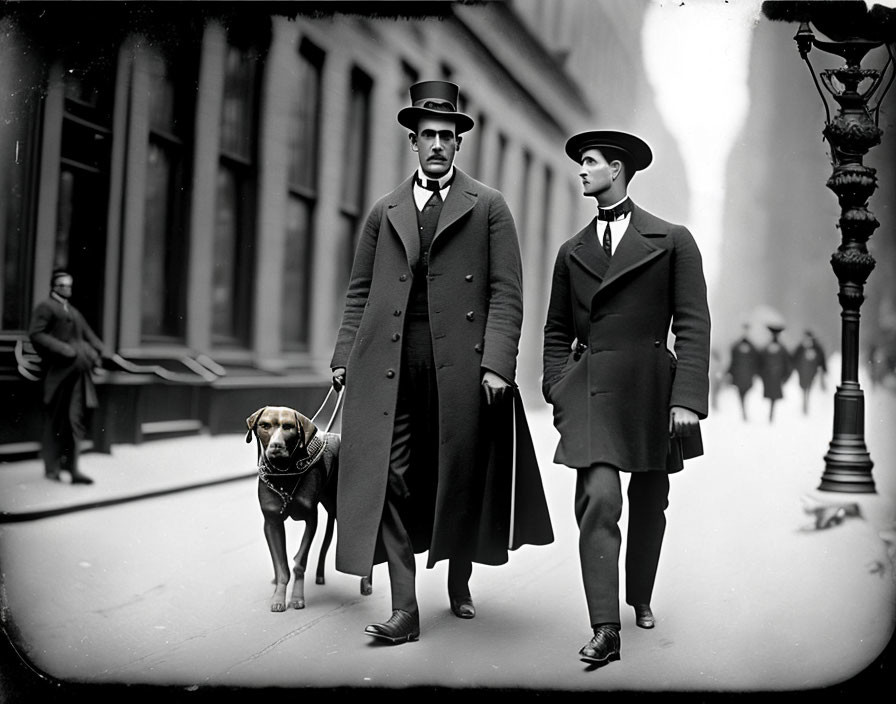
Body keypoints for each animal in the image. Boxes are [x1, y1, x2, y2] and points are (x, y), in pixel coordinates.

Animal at [245, 404, 372, 612]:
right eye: (264, 425)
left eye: (288, 427)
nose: (276, 446)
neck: (284, 475)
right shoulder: (272, 522)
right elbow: (281, 564)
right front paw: (279, 596)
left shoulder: (311, 518)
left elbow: (299, 562)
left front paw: (297, 597)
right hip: (330, 505)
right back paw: (320, 574)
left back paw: (366, 582)